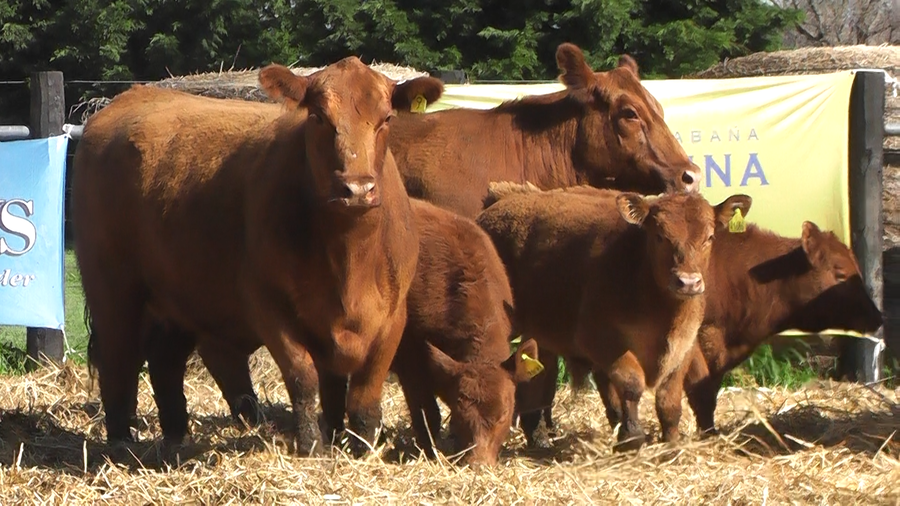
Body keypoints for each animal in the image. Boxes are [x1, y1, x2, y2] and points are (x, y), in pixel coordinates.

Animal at [72, 56, 444, 455]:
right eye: (318, 117)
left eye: (387, 118)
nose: (357, 188)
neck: (349, 259)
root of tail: (132, 96)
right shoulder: (269, 306)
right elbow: (304, 378)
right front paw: (312, 444)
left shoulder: (391, 315)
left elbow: (362, 395)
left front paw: (360, 447)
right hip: (113, 289)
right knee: (119, 361)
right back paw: (120, 441)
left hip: (180, 298)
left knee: (164, 362)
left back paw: (176, 436)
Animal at [475, 182, 751, 451]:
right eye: (660, 236)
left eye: (710, 237)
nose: (688, 282)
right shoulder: (600, 341)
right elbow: (631, 384)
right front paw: (632, 436)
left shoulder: (684, 343)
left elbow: (669, 398)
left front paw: (671, 442)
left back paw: (539, 438)